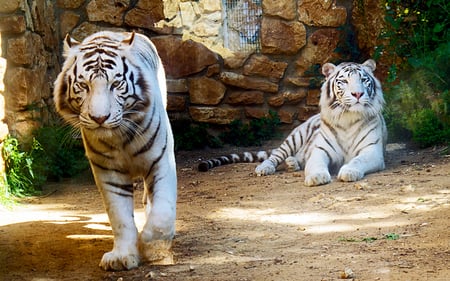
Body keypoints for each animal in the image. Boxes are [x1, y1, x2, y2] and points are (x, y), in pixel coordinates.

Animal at [53, 30, 177, 270]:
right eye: (84, 86)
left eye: (116, 84)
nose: (99, 118)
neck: (121, 138)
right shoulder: (109, 172)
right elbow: (120, 217)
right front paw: (121, 256)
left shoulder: (161, 161)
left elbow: (162, 213)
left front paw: (150, 244)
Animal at [199, 59, 388, 186]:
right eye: (344, 81)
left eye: (364, 80)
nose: (358, 94)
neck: (348, 117)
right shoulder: (320, 150)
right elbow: (315, 163)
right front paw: (317, 177)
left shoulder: (372, 151)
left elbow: (358, 160)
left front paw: (349, 171)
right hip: (294, 137)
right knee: (275, 156)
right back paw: (265, 168)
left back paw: (292, 163)